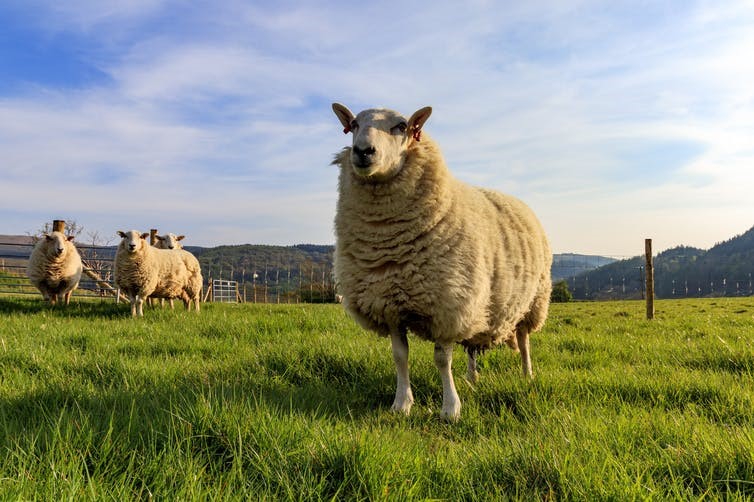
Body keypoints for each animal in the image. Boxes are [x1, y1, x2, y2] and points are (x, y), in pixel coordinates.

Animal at [332, 102, 548, 420]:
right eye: (354, 125)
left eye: (401, 126)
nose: (363, 151)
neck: (389, 240)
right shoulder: (390, 305)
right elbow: (400, 357)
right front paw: (401, 404)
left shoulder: (447, 305)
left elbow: (442, 360)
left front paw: (450, 408)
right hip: (479, 302)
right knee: (472, 345)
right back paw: (472, 379)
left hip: (531, 302)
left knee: (523, 340)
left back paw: (527, 374)